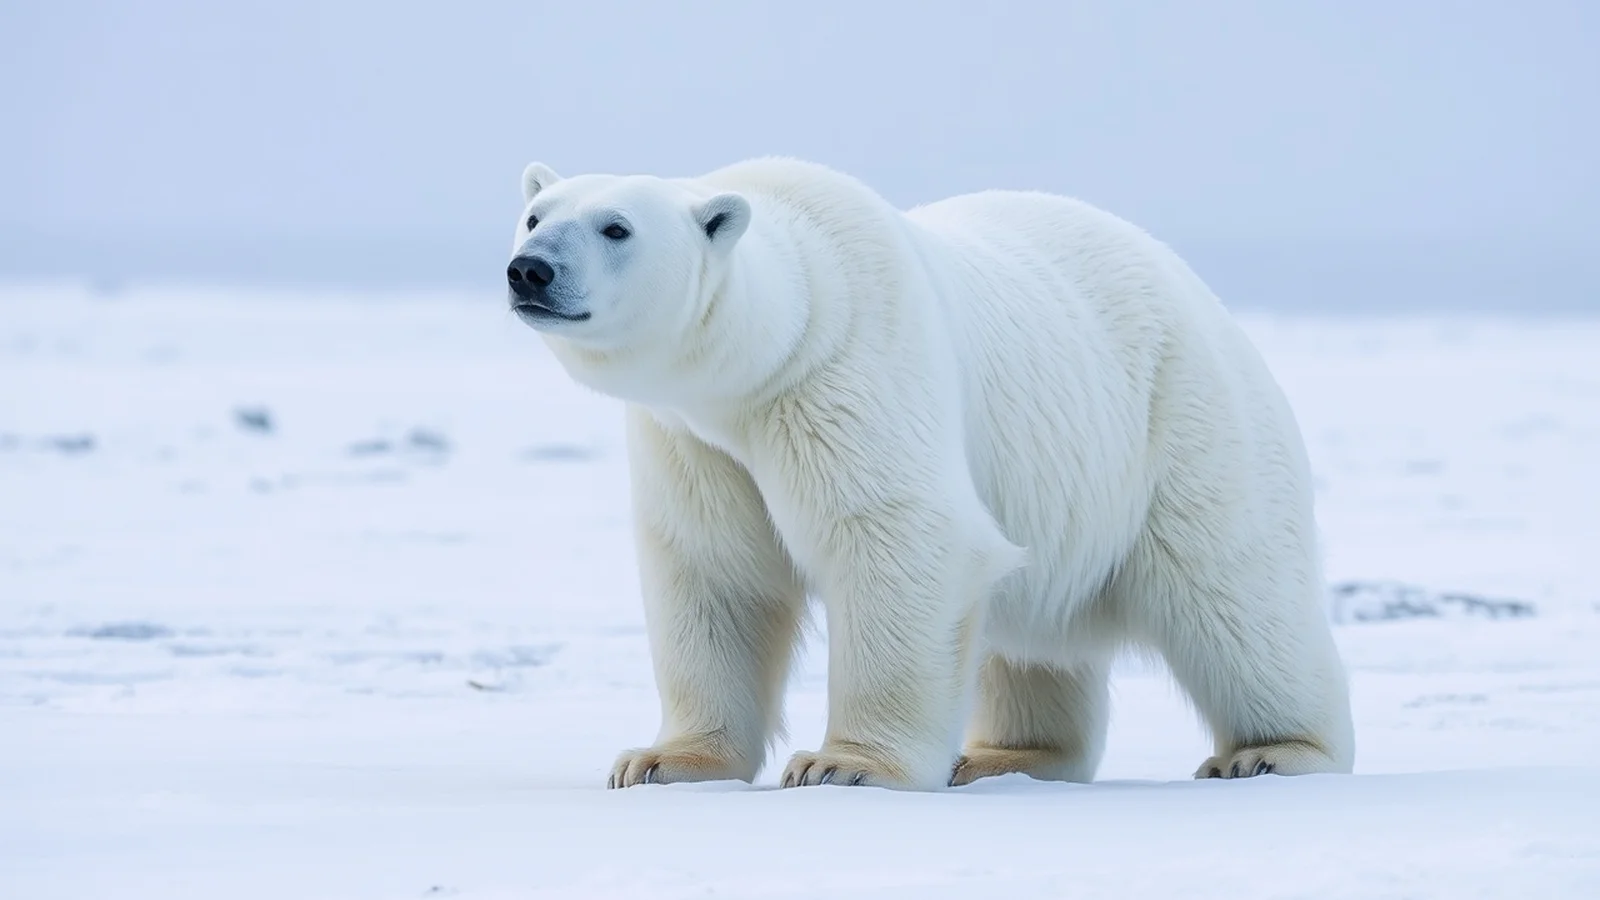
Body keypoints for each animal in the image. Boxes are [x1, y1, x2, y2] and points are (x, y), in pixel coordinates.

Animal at [503, 157, 1356, 791]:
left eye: (616, 226)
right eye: (536, 214)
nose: (529, 271)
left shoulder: (846, 378)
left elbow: (897, 537)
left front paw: (842, 766)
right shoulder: (693, 442)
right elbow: (716, 572)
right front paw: (661, 761)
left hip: (1185, 425)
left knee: (1236, 595)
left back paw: (1273, 750)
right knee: (1033, 638)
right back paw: (1003, 756)